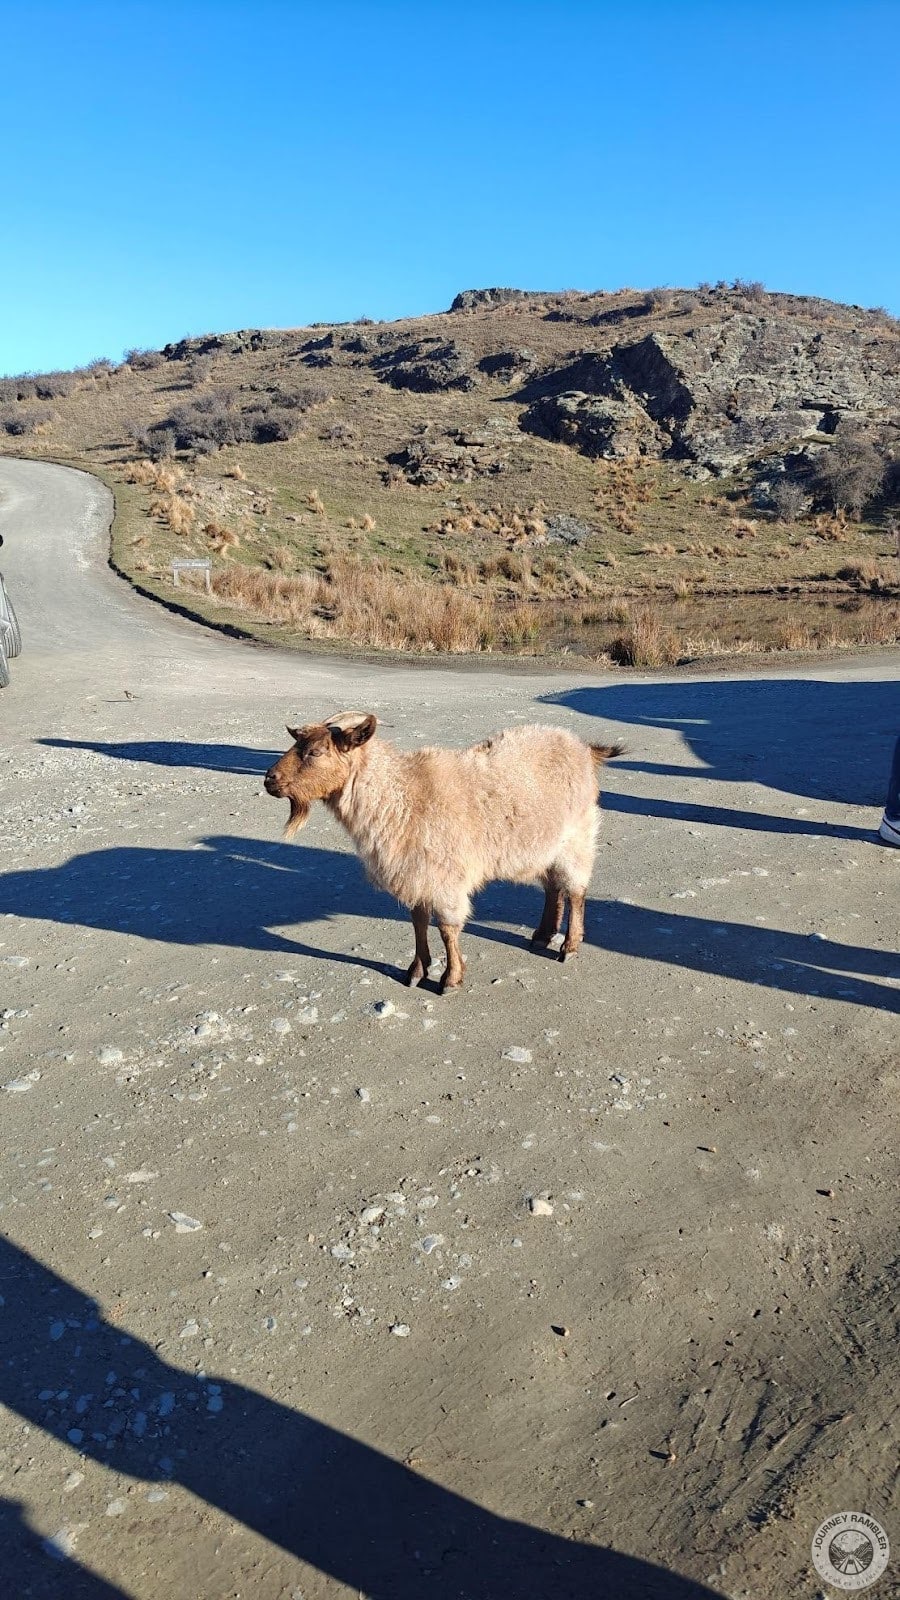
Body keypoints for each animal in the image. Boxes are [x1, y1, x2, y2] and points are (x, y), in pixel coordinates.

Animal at [264, 712, 622, 992]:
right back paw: (542, 935)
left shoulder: (446, 877)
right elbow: (418, 922)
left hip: (576, 835)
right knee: (552, 888)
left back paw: (569, 946)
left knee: (575, 890)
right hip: (543, 844)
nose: (269, 780)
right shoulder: (417, 873)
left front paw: (450, 978)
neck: (403, 797)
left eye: (315, 751)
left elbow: (447, 929)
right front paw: (416, 971)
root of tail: (583, 748)